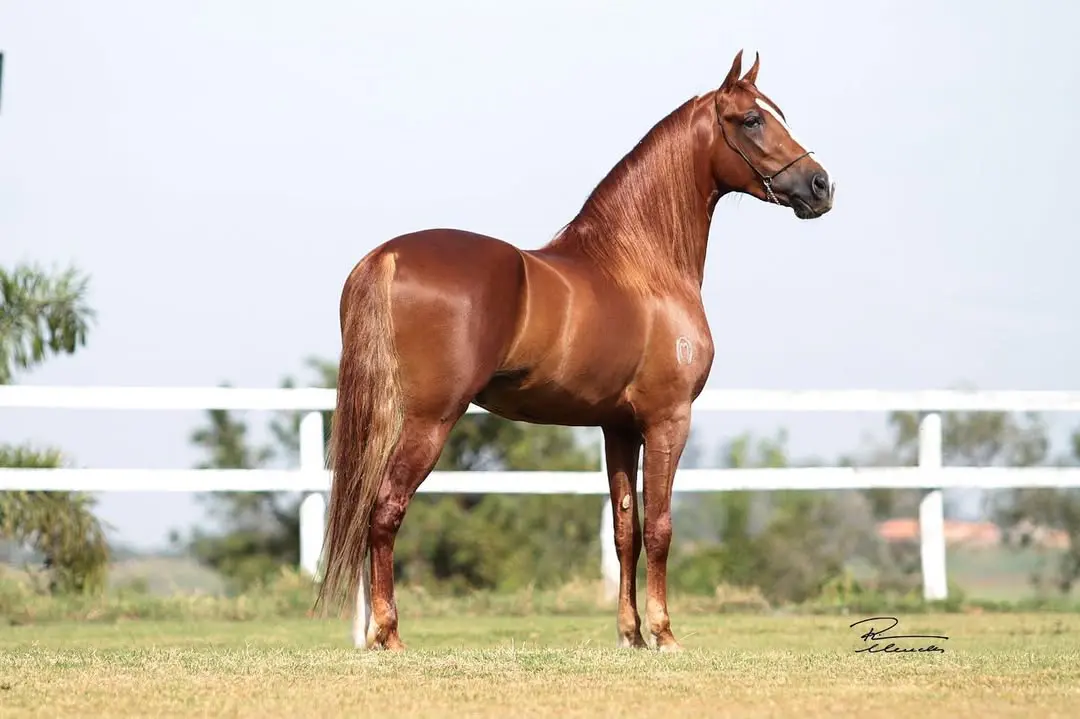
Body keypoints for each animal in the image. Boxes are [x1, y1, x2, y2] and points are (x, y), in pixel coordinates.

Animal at [315, 49, 835, 652]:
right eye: (752, 120)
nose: (821, 186)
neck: (642, 265)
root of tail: (387, 256)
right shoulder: (668, 419)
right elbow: (661, 527)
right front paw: (665, 633)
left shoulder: (619, 427)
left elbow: (626, 530)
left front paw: (631, 635)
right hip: (428, 420)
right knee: (385, 509)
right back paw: (389, 635)